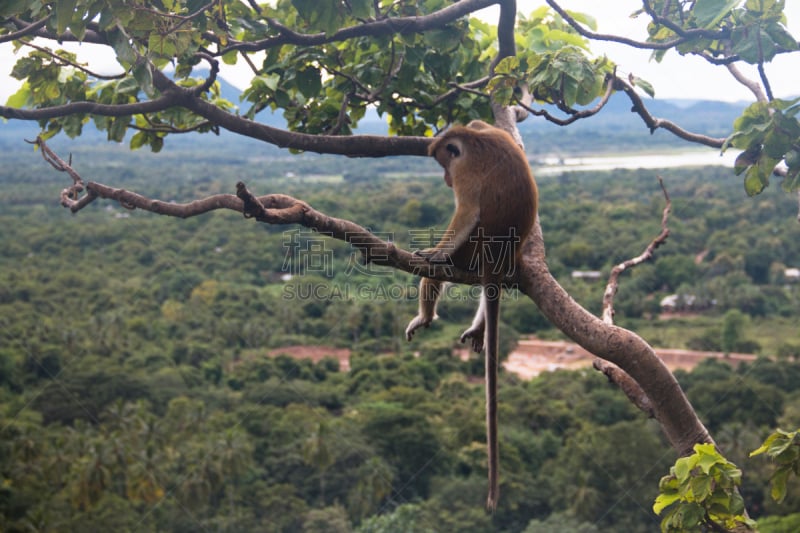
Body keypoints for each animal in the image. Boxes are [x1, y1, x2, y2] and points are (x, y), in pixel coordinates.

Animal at [406, 118, 536, 510]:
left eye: (446, 165)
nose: (446, 179)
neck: (472, 137)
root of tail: (500, 259)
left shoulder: (467, 170)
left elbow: (465, 214)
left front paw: (433, 253)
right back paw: (479, 326)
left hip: (470, 252)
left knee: (437, 269)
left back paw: (426, 315)